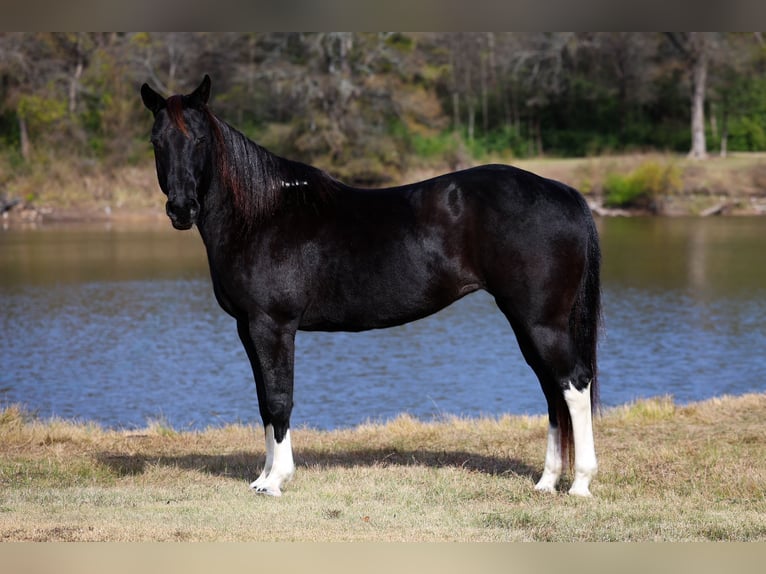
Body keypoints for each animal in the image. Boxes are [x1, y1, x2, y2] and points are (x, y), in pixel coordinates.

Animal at [141, 75, 602, 497]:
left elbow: (278, 398)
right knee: (552, 390)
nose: (181, 209)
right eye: (156, 141)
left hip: (541, 321)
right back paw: (546, 482)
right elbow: (264, 403)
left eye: (200, 139)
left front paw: (276, 481)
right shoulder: (248, 327)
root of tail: (565, 193)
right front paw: (262, 478)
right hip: (527, 321)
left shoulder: (273, 325)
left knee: (574, 384)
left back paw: (579, 484)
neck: (261, 216)